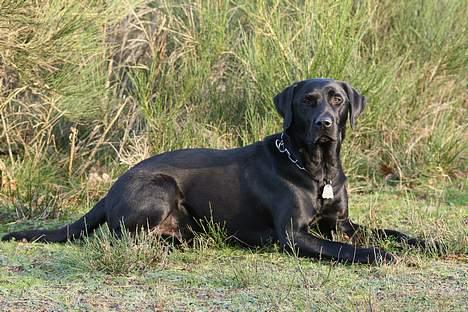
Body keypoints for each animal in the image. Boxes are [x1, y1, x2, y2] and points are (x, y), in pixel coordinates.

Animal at [1, 78, 430, 264]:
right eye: (307, 101)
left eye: (337, 99)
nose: (325, 123)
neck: (317, 169)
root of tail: (110, 190)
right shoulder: (293, 236)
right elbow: (344, 249)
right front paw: (378, 255)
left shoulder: (340, 223)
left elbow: (393, 232)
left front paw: (429, 243)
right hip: (160, 187)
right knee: (123, 237)